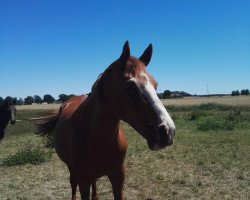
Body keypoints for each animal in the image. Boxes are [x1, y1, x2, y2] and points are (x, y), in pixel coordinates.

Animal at [35, 41, 176, 199]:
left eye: (155, 84)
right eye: (130, 87)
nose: (168, 131)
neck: (96, 138)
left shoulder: (118, 176)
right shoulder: (83, 180)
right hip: (72, 170)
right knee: (73, 185)